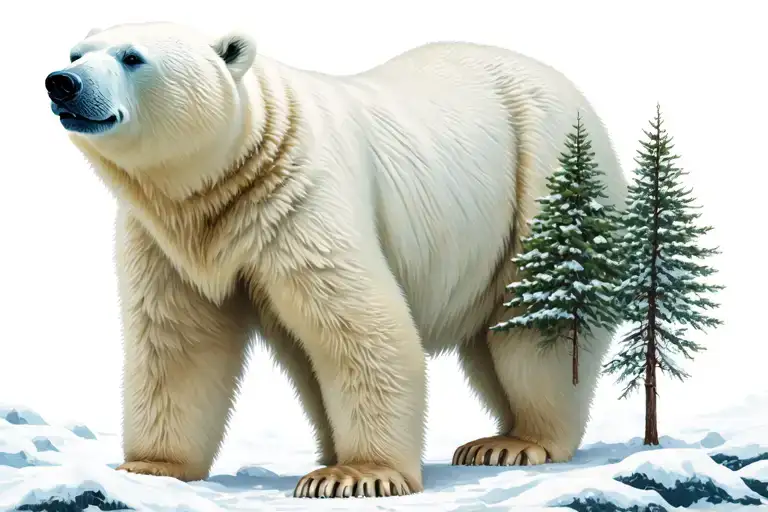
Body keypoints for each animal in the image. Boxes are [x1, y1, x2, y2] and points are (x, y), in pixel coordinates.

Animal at [44, 21, 627, 498]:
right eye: (75, 52)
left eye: (131, 57)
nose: (61, 82)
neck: (231, 175)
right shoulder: (166, 239)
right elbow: (178, 341)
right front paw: (149, 466)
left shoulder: (301, 200)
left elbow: (359, 325)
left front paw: (358, 476)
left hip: (540, 178)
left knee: (535, 325)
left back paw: (515, 442)